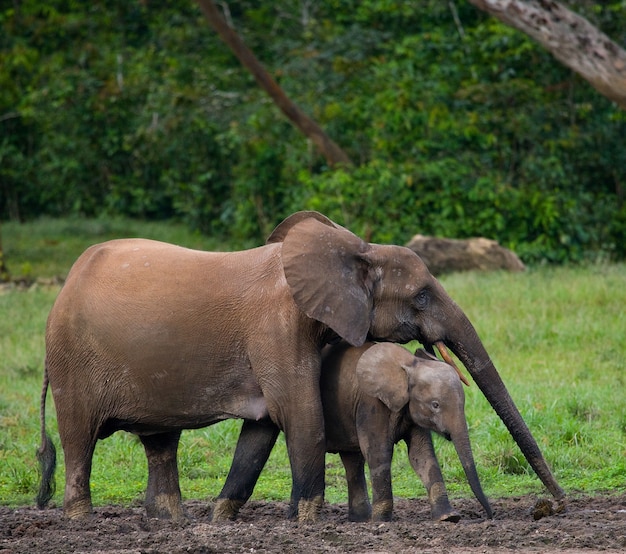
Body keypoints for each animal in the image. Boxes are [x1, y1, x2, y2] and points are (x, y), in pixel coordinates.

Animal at [36, 209, 564, 520]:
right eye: (420, 296)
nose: (556, 505)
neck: (354, 249)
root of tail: (68, 279)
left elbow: (262, 430)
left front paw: (224, 519)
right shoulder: (277, 325)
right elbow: (298, 411)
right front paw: (308, 519)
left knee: (160, 442)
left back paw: (170, 521)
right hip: (71, 358)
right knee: (79, 437)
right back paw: (81, 519)